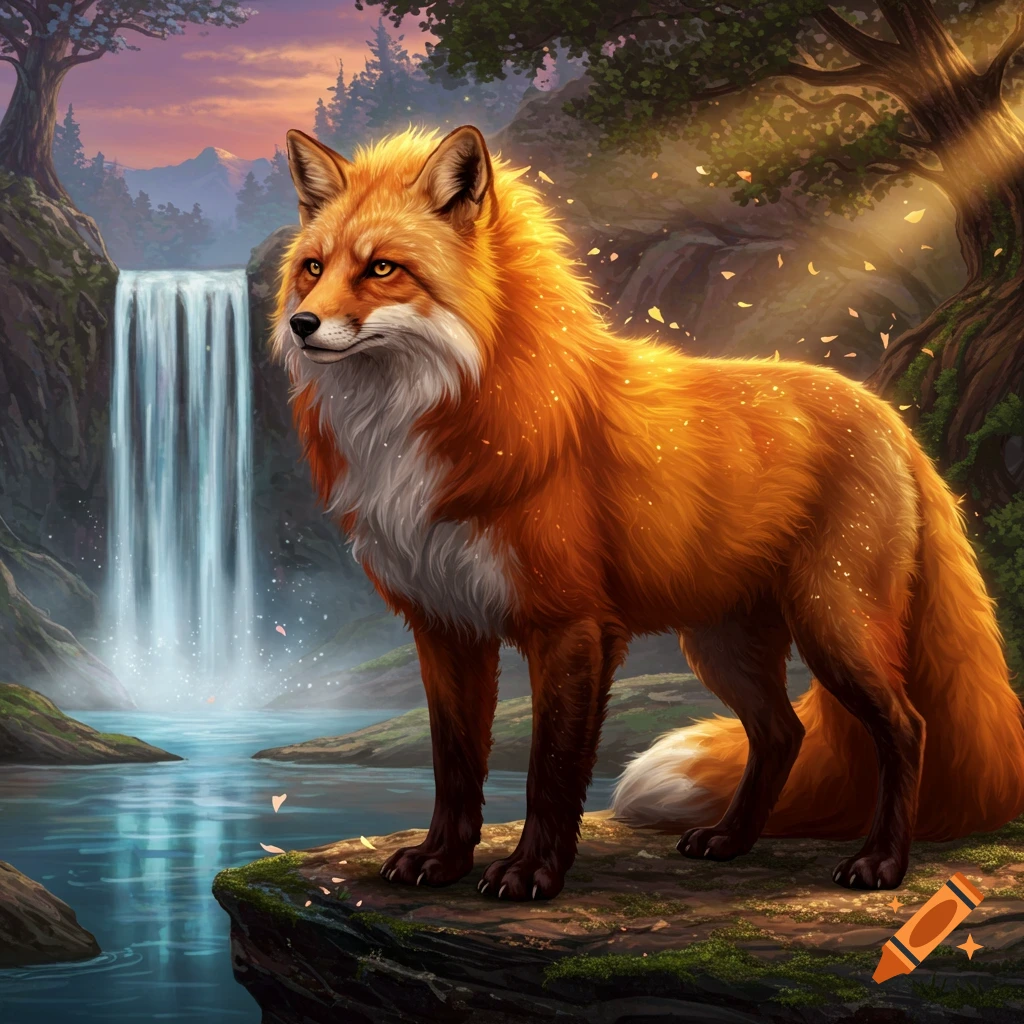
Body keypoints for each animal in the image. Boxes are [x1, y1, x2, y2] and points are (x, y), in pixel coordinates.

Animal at [273, 123, 1024, 901]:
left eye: (382, 268)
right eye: (313, 268)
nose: (301, 324)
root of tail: (890, 416)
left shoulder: (571, 625)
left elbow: (551, 772)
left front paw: (533, 872)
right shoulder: (445, 626)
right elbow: (454, 767)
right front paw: (441, 861)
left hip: (834, 622)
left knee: (907, 727)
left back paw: (882, 862)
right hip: (725, 643)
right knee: (783, 733)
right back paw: (730, 839)